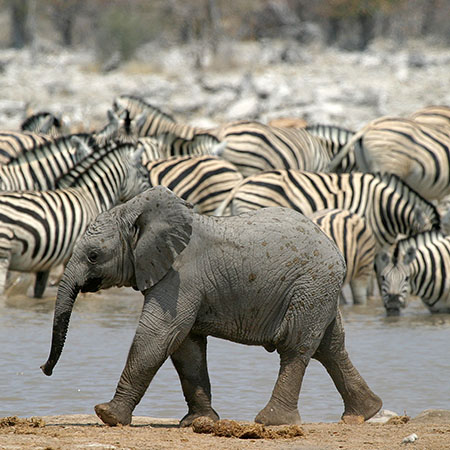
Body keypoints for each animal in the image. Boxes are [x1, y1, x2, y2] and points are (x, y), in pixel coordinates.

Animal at [0, 141, 149, 298]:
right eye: (145, 175)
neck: (92, 195)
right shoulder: (83, 248)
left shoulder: (46, 261)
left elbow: (39, 290)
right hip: (4, 253)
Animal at [41, 185, 380, 428]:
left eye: (94, 256)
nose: (44, 370)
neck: (136, 210)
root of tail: (334, 248)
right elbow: (185, 347)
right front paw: (198, 422)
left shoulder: (180, 276)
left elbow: (158, 336)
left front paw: (107, 415)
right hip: (320, 291)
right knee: (331, 347)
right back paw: (363, 413)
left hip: (310, 286)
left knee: (296, 347)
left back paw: (272, 422)